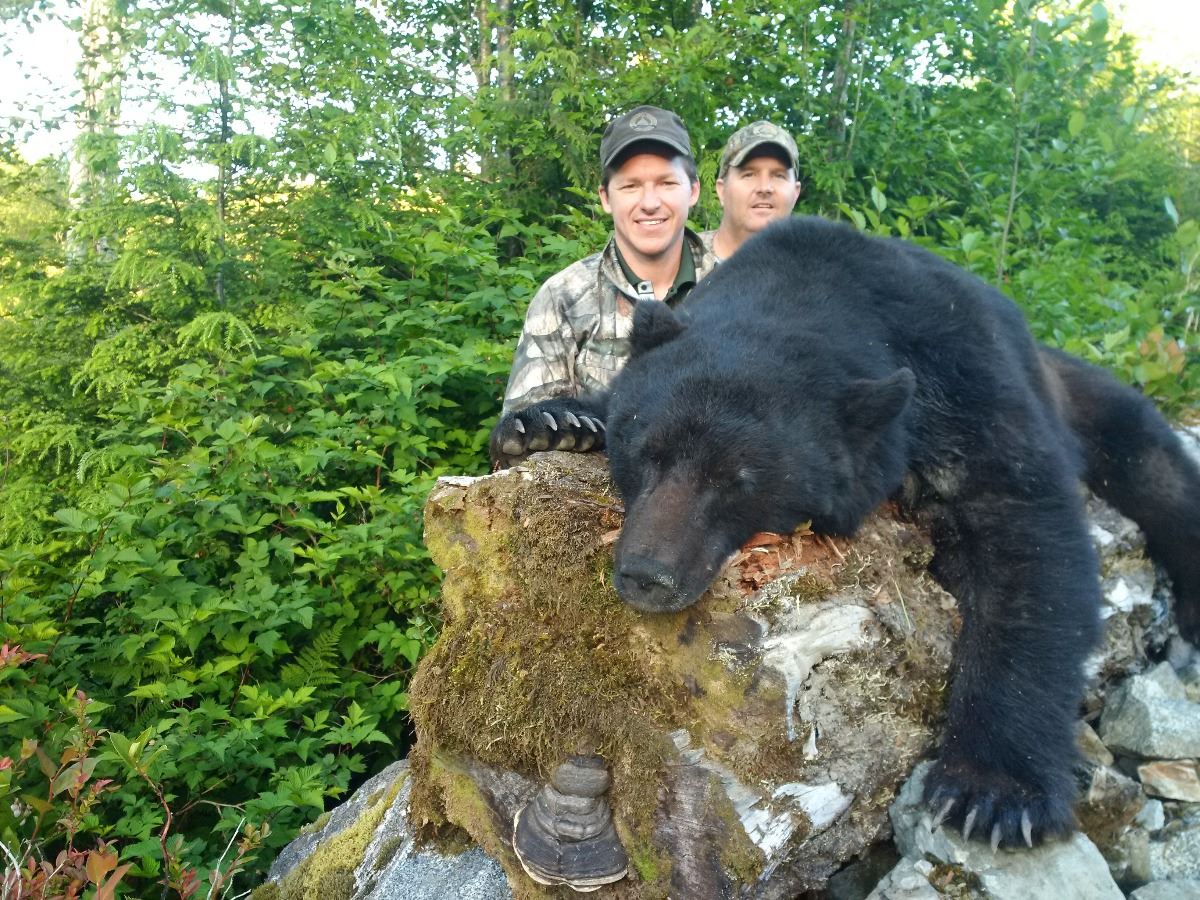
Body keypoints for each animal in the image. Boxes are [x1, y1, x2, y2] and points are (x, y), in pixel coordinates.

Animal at [489, 215, 1200, 849]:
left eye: (739, 480)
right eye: (646, 451)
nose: (646, 575)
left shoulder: (963, 379)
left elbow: (1027, 538)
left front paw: (994, 791)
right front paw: (551, 422)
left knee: (1157, 472)